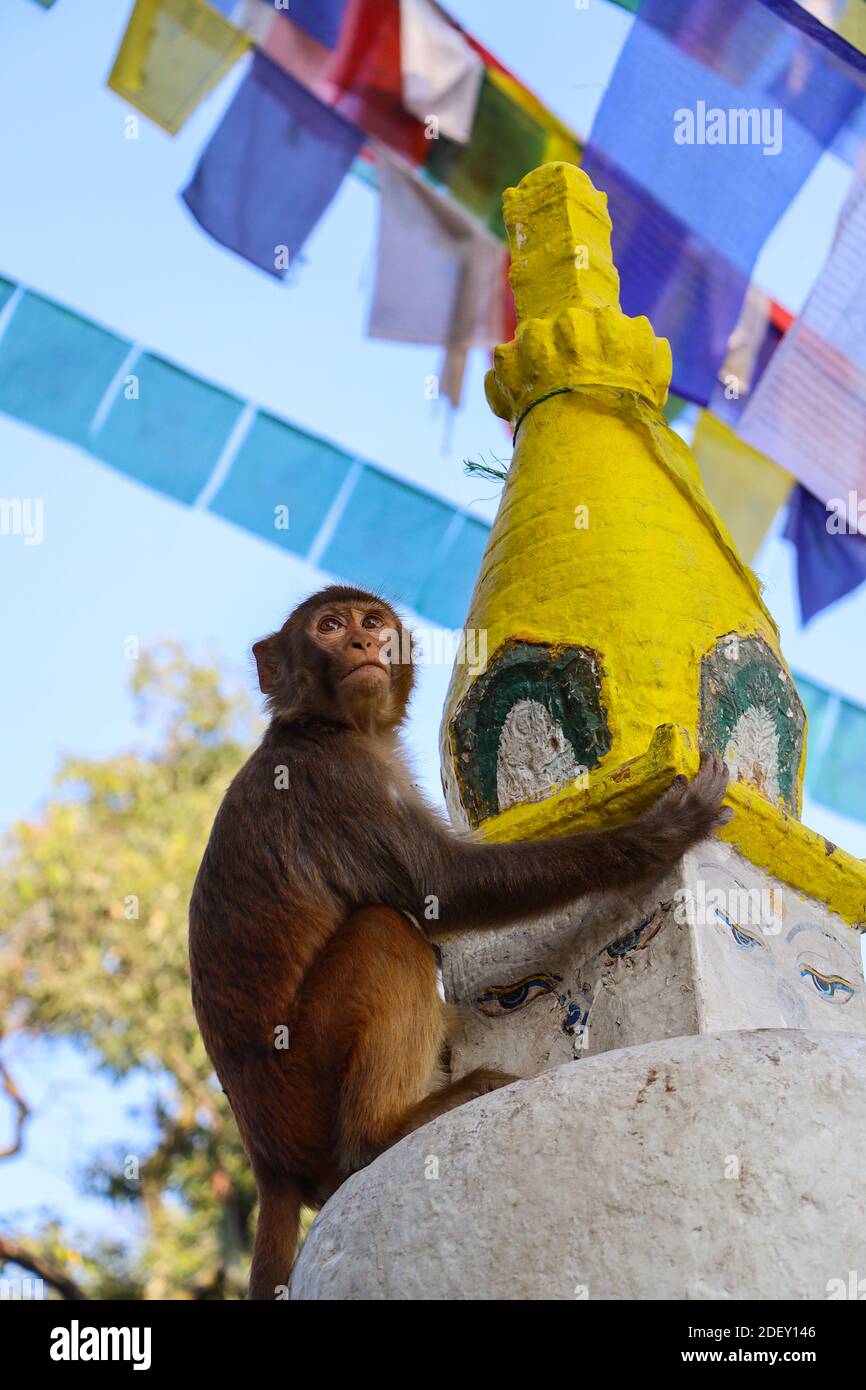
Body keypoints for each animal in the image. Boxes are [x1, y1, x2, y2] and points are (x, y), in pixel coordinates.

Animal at [188, 585, 730, 1299]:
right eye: (329, 627)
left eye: (371, 622)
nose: (363, 642)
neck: (324, 727)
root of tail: (267, 1163)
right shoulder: (339, 781)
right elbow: (441, 887)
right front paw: (660, 833)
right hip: (304, 1082)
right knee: (386, 933)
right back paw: (380, 1134)